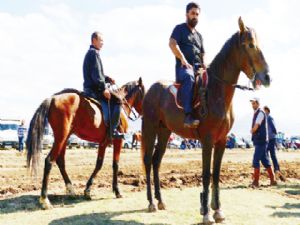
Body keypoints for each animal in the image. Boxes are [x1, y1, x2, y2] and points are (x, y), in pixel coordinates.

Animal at [26, 77, 145, 209]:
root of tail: (52, 99)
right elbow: (115, 164)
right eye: (144, 92)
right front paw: (117, 191)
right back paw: (45, 199)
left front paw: (87, 190)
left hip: (64, 138)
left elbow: (99, 164)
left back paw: (70, 189)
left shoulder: (103, 143)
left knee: (60, 161)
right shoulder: (118, 140)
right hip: (61, 137)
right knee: (49, 161)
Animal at [142, 17, 270, 223]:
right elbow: (206, 174)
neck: (216, 91)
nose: (267, 77)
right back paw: (151, 203)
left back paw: (160, 201)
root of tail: (151, 89)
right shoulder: (208, 140)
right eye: (250, 45)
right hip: (150, 128)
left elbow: (216, 174)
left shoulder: (222, 141)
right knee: (147, 160)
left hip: (164, 132)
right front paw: (207, 213)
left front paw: (218, 210)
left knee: (156, 161)